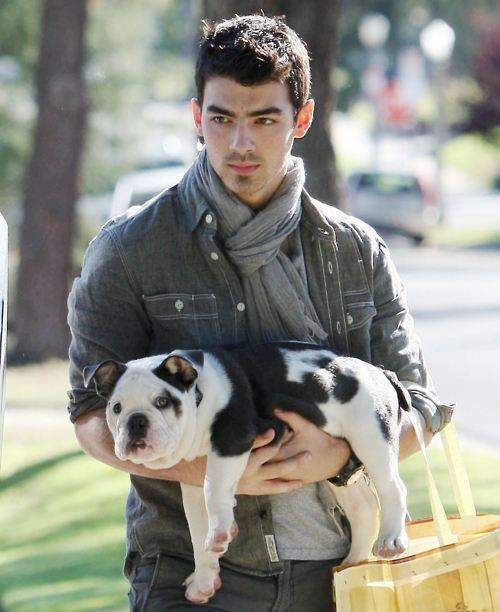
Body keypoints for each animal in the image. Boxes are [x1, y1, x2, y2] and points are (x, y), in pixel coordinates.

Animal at [84, 342, 411, 604]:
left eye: (162, 401)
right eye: (116, 408)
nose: (136, 421)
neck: (200, 395)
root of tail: (381, 372)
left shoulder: (233, 439)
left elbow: (214, 487)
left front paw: (221, 529)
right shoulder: (192, 481)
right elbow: (197, 530)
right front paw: (204, 578)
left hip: (370, 434)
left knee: (392, 487)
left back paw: (390, 541)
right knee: (363, 505)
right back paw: (353, 562)